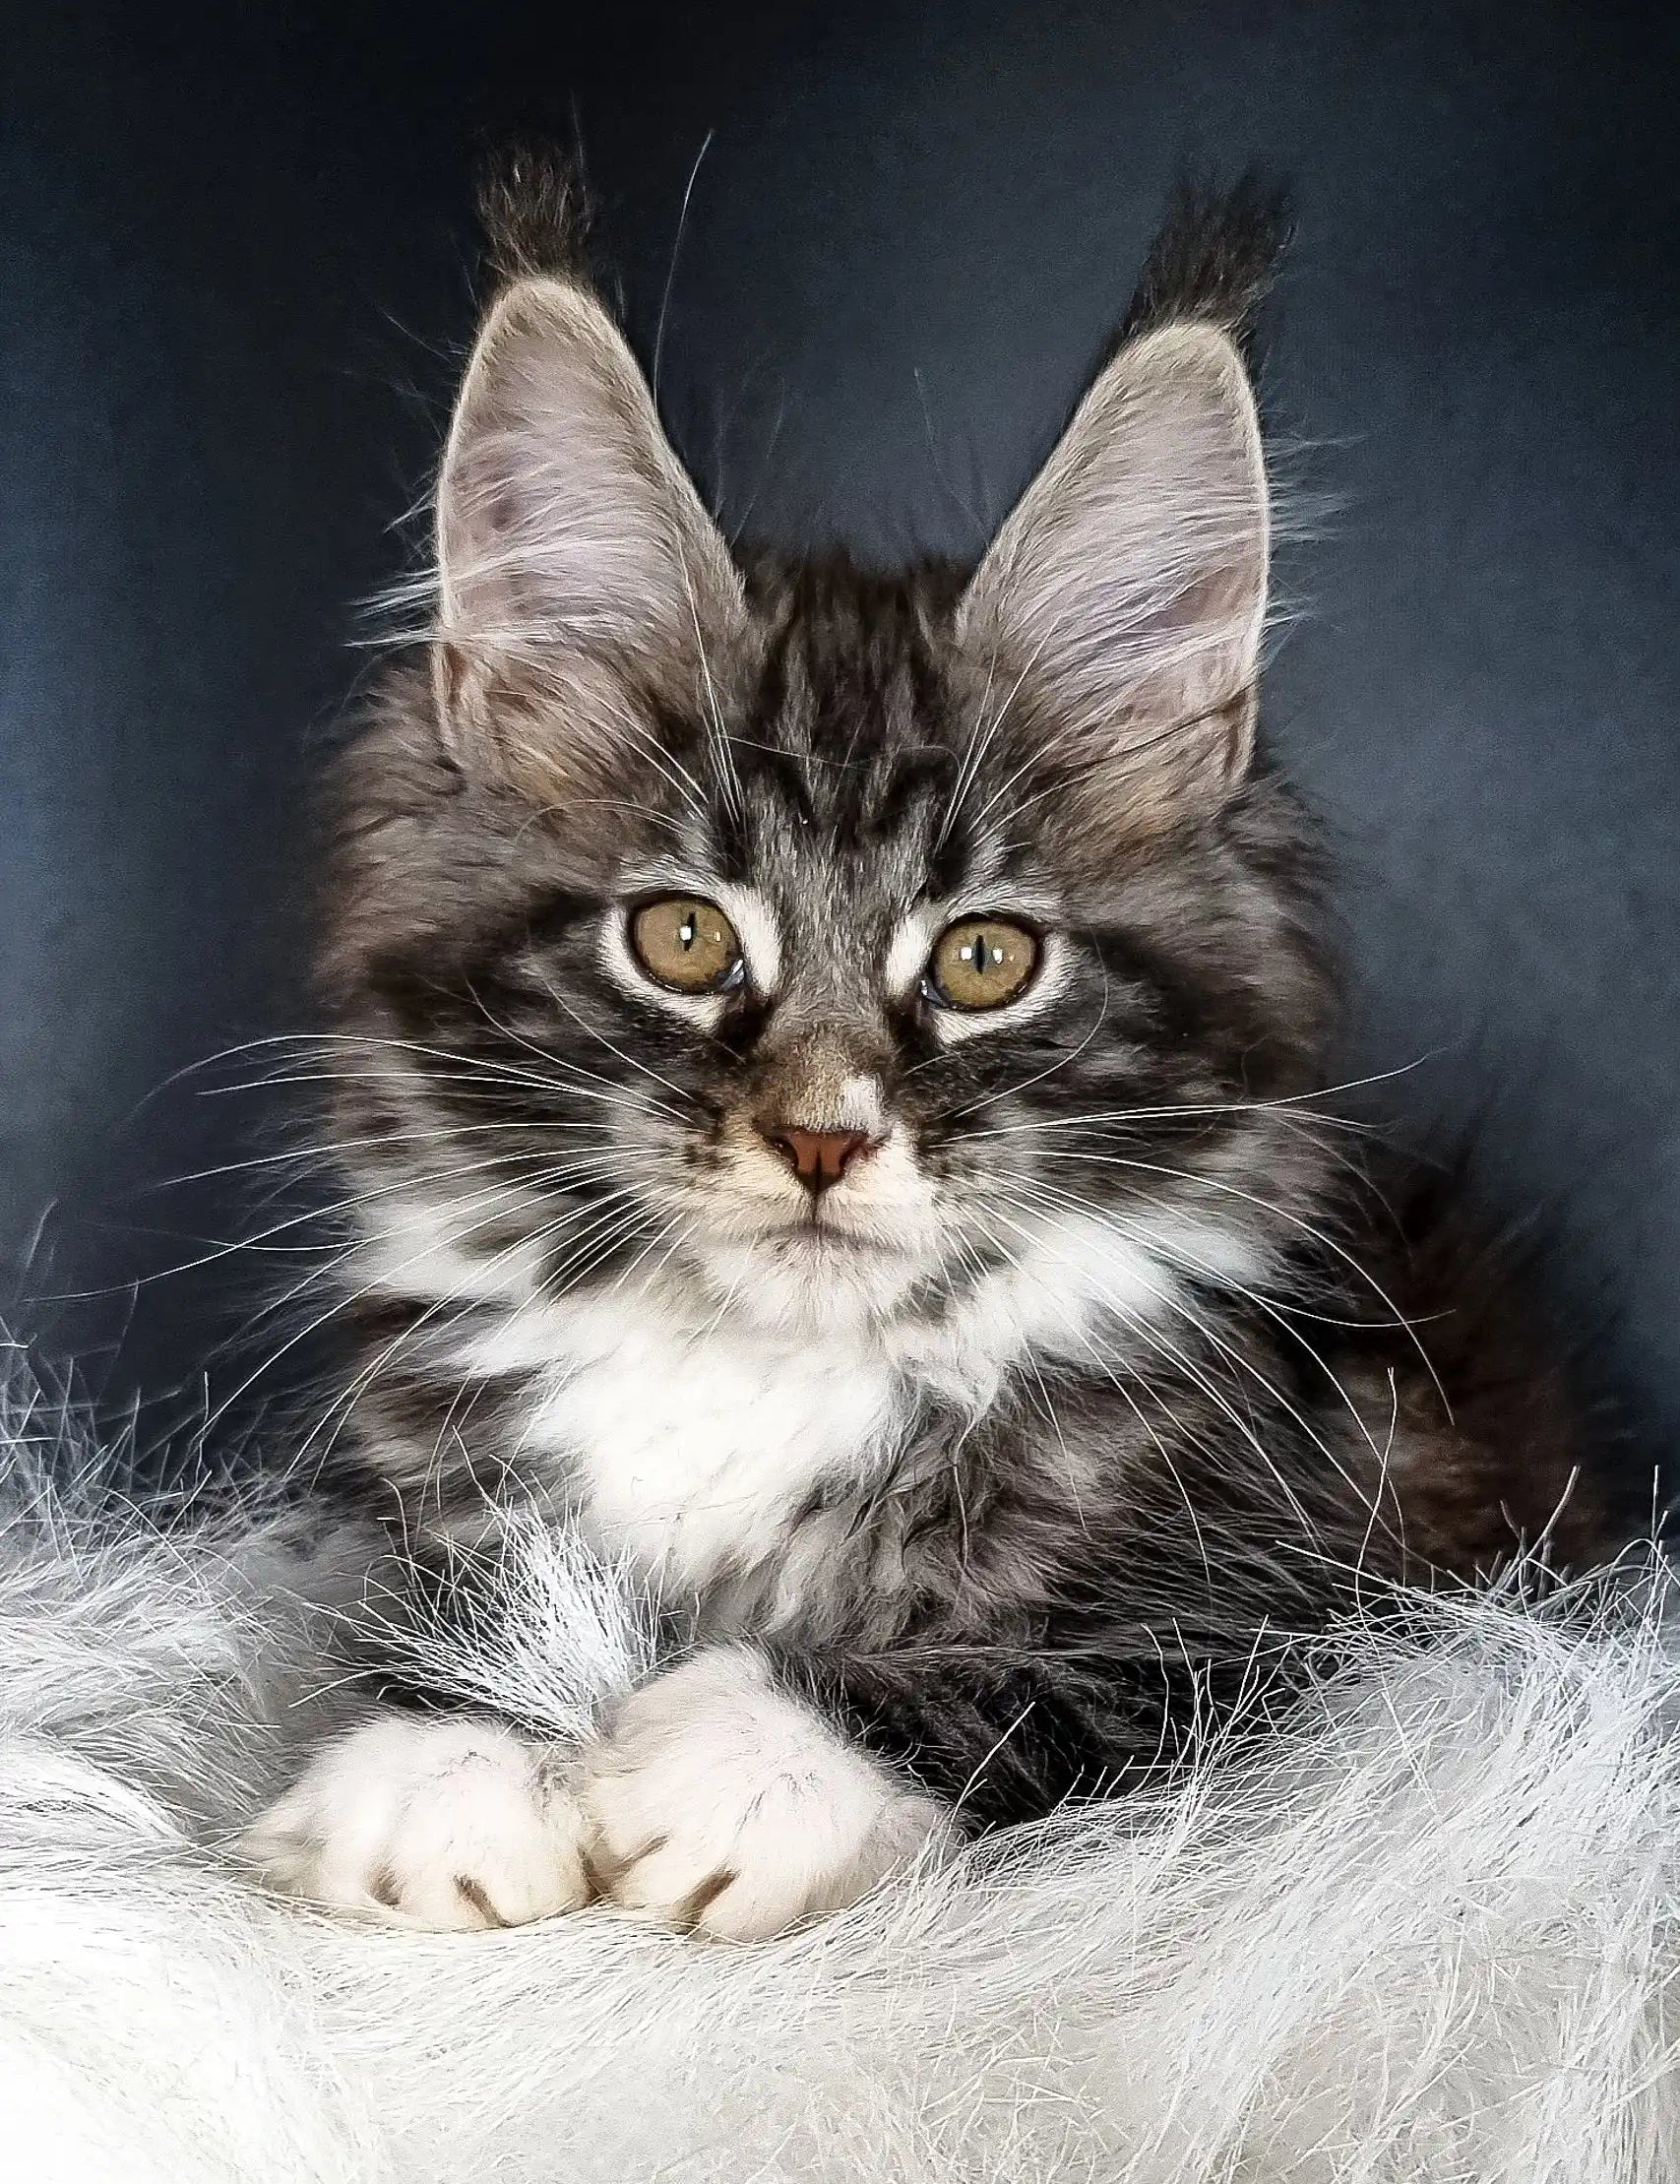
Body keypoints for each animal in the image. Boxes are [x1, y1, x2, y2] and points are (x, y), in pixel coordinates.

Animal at [245, 165, 1625, 1948]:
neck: (768, 1371)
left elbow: (1078, 1650)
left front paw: (756, 1759)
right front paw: (440, 1747)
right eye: (680, 938)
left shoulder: (1336, 1569)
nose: (824, 1137)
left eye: (982, 960)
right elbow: (435, 1597)